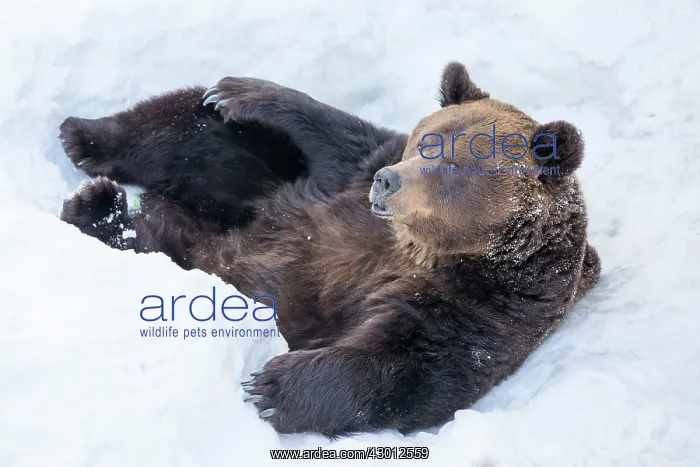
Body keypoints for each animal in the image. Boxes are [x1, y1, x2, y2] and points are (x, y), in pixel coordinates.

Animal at [59, 61, 601, 438]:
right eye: (426, 140)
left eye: (458, 166)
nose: (388, 183)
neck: (423, 248)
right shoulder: (350, 177)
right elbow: (331, 132)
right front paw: (237, 91)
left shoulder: (487, 308)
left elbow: (410, 367)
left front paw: (272, 388)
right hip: (248, 172)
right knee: (189, 125)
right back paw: (86, 145)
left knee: (160, 232)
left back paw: (101, 211)